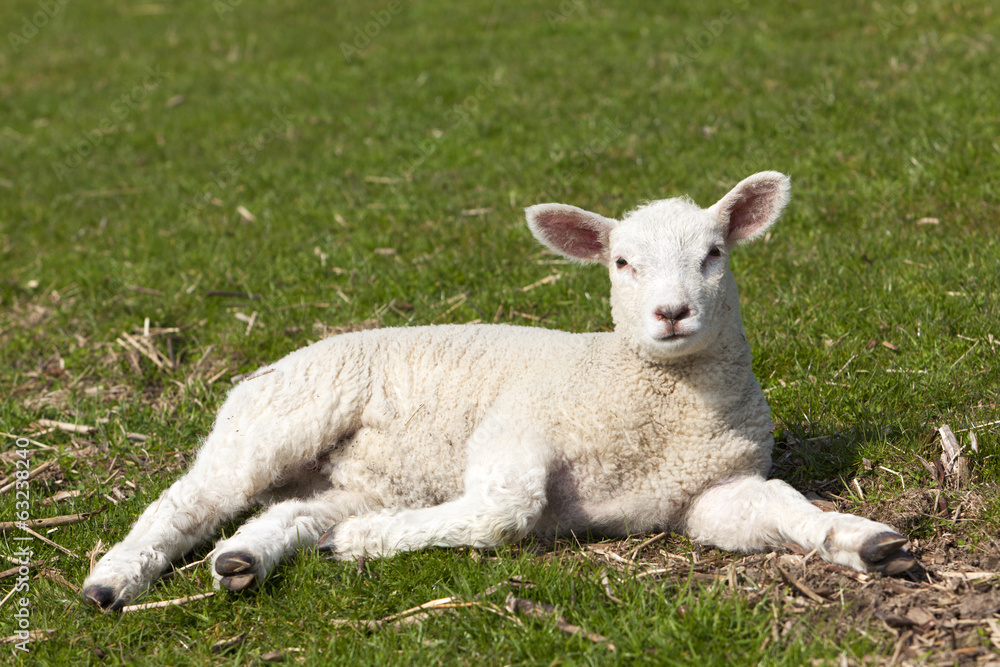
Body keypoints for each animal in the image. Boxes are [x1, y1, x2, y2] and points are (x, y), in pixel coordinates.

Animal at [84, 171, 916, 612]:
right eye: (620, 263)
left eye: (715, 254)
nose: (671, 313)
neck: (651, 404)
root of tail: (279, 361)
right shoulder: (515, 429)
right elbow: (505, 512)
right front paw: (368, 544)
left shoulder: (711, 492)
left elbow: (780, 506)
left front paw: (867, 542)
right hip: (279, 418)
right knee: (188, 500)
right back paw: (113, 579)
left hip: (354, 475)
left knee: (288, 511)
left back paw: (243, 560)